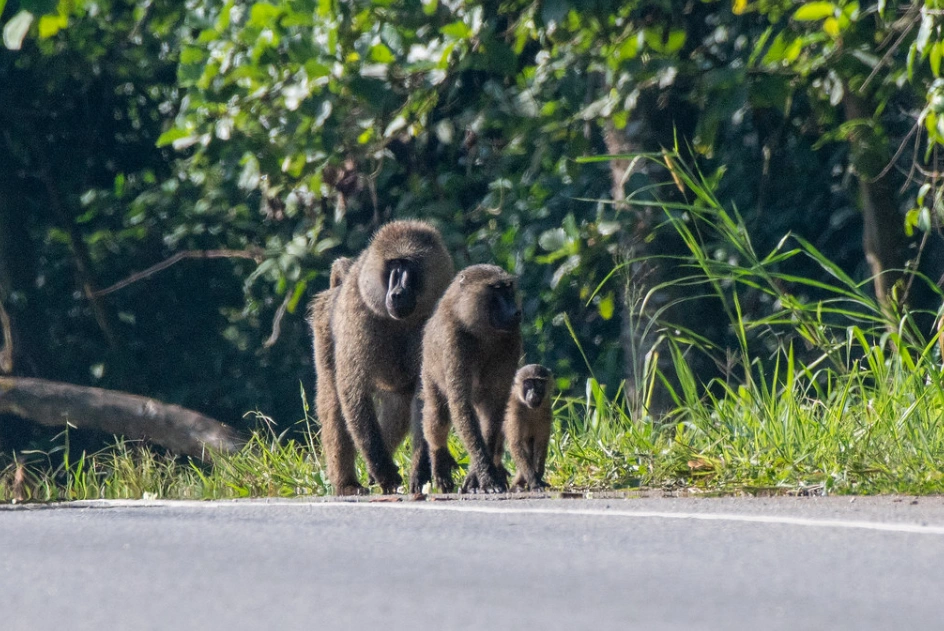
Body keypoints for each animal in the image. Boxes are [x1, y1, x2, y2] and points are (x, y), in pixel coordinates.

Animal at [310, 221, 454, 495]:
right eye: (393, 266)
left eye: (409, 267)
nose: (397, 294)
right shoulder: (357, 316)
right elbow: (353, 392)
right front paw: (385, 474)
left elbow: (425, 394)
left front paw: (419, 473)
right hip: (323, 333)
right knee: (334, 402)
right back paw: (347, 484)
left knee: (400, 402)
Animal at [421, 264, 522, 494]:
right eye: (496, 290)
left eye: (508, 288)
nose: (516, 312)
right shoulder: (454, 342)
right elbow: (461, 405)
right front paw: (485, 476)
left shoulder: (512, 339)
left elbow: (496, 406)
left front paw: (480, 474)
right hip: (428, 372)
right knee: (438, 416)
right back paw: (438, 462)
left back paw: (497, 465)